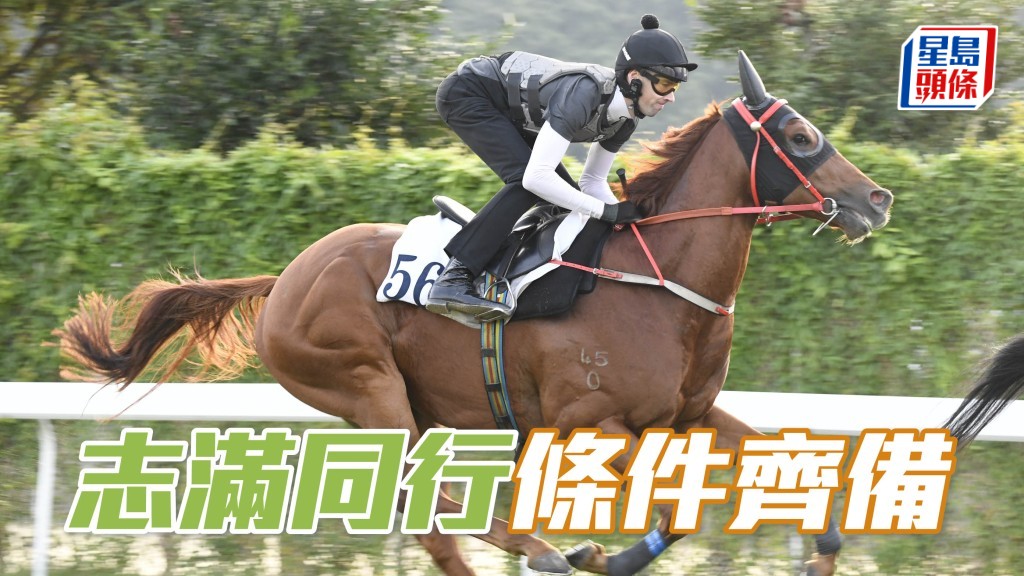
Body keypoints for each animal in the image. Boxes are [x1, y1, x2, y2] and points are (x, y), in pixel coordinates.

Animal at [55, 52, 893, 576]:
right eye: (799, 136)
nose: (876, 198)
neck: (660, 286)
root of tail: (286, 277)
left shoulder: (689, 413)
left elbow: (761, 478)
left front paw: (822, 550)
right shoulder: (587, 423)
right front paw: (602, 551)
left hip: (415, 403)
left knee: (428, 505)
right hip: (365, 385)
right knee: (423, 502)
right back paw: (549, 548)